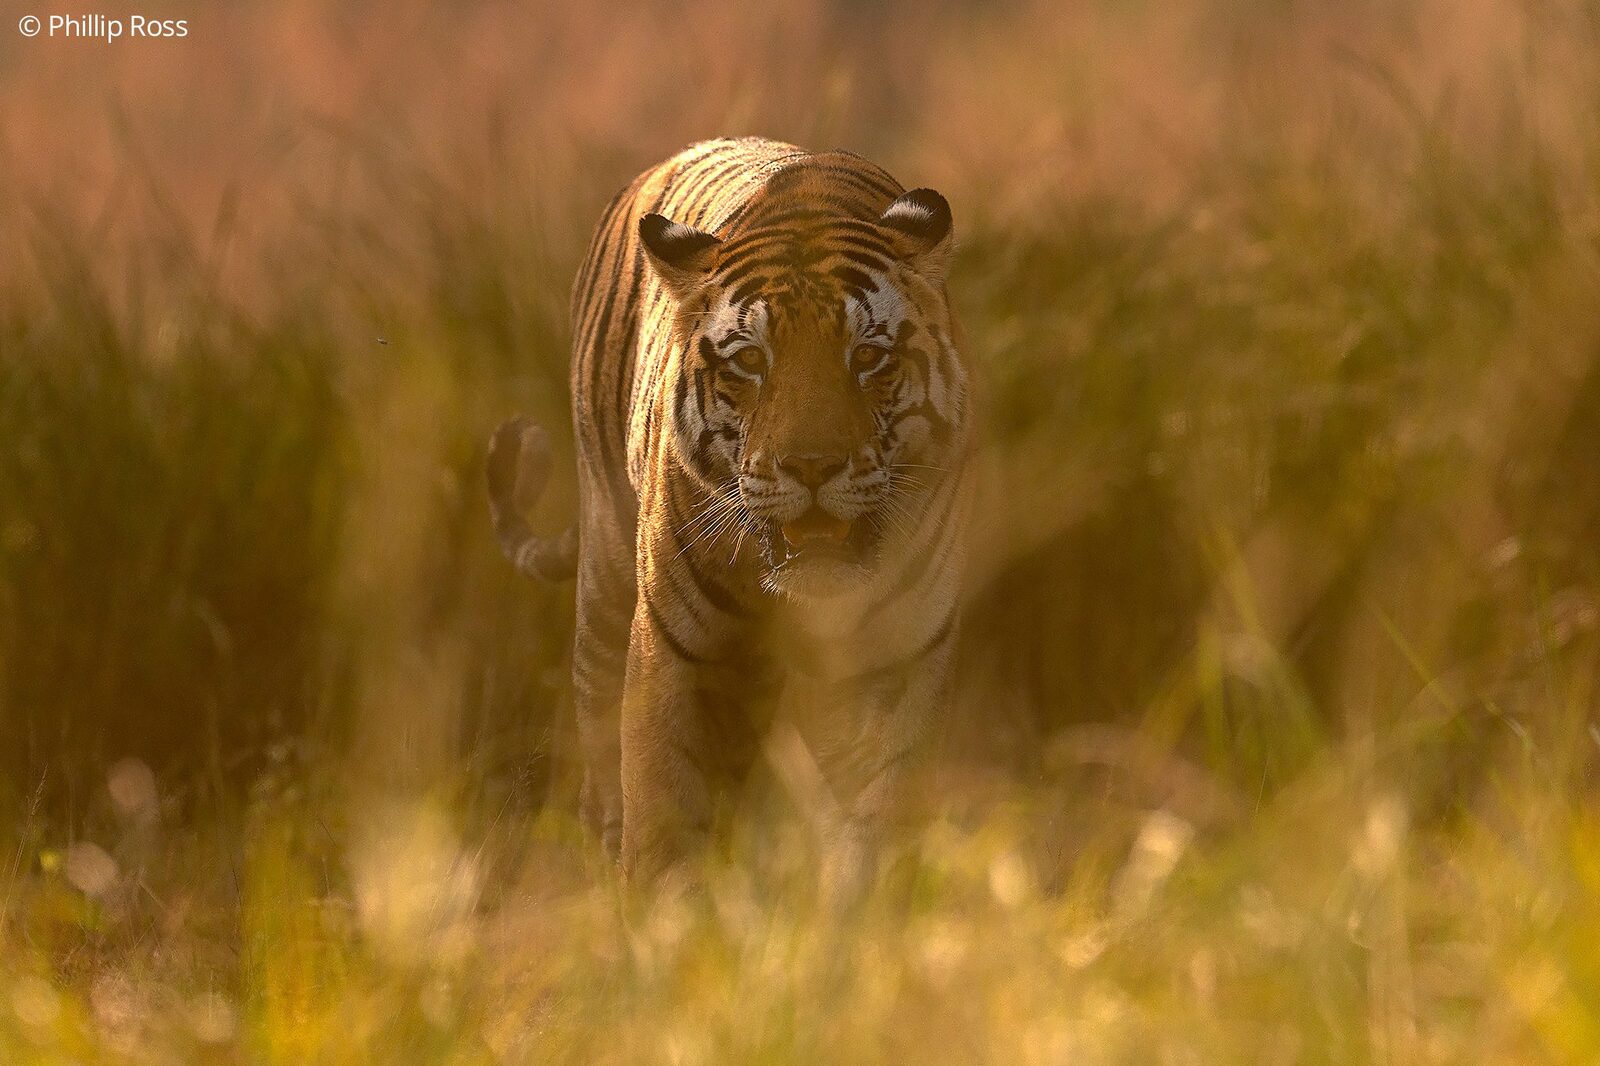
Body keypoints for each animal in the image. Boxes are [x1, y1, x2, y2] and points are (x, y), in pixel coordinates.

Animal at [487, 137, 972, 898]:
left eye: (867, 356)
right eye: (750, 360)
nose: (811, 466)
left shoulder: (897, 661)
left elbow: (876, 824)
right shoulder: (679, 655)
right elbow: (662, 818)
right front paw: (669, 918)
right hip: (605, 587)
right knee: (602, 773)